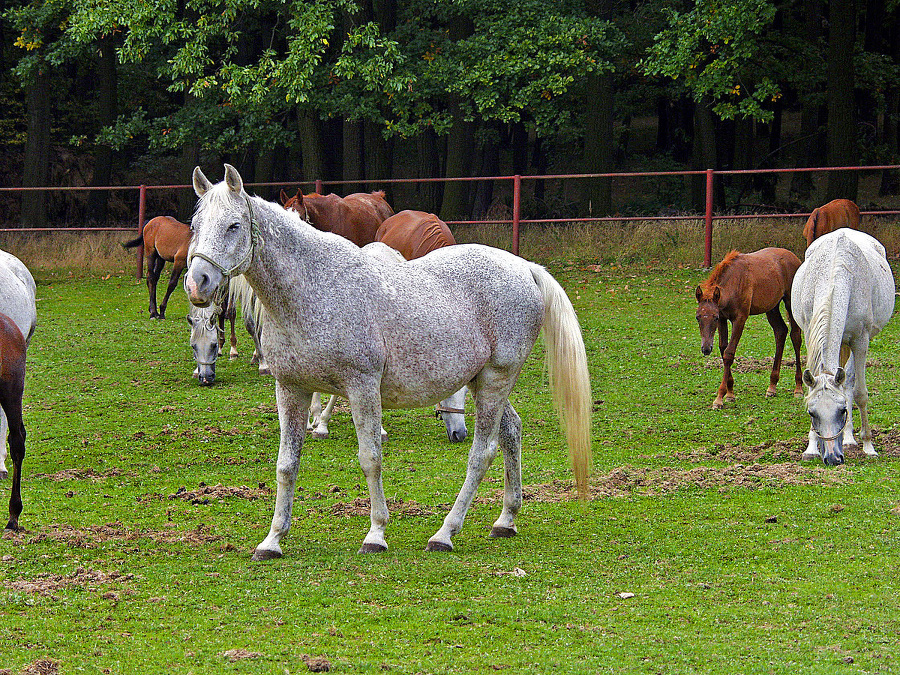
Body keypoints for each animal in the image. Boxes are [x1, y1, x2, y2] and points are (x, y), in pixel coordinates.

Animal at [185, 165, 592, 560]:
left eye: (234, 226)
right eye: (196, 226)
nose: (197, 283)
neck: (314, 290)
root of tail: (525, 268)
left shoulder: (362, 387)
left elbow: (370, 459)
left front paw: (376, 534)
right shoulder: (290, 388)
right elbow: (286, 465)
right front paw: (272, 540)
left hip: (495, 381)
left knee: (482, 453)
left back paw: (445, 533)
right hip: (483, 382)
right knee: (511, 433)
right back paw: (506, 519)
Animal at [696, 247, 800, 410]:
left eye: (714, 317)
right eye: (698, 317)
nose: (706, 349)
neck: (734, 282)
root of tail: (795, 258)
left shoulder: (739, 319)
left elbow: (729, 353)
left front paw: (719, 398)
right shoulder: (724, 318)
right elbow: (723, 348)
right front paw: (730, 393)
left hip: (790, 302)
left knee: (795, 336)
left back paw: (798, 388)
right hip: (772, 307)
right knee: (780, 331)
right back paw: (772, 386)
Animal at [796, 230, 892, 468]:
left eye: (843, 410)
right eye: (812, 413)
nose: (832, 457)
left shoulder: (860, 340)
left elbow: (859, 393)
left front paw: (869, 446)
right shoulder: (809, 332)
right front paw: (811, 448)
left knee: (848, 381)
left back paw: (849, 439)